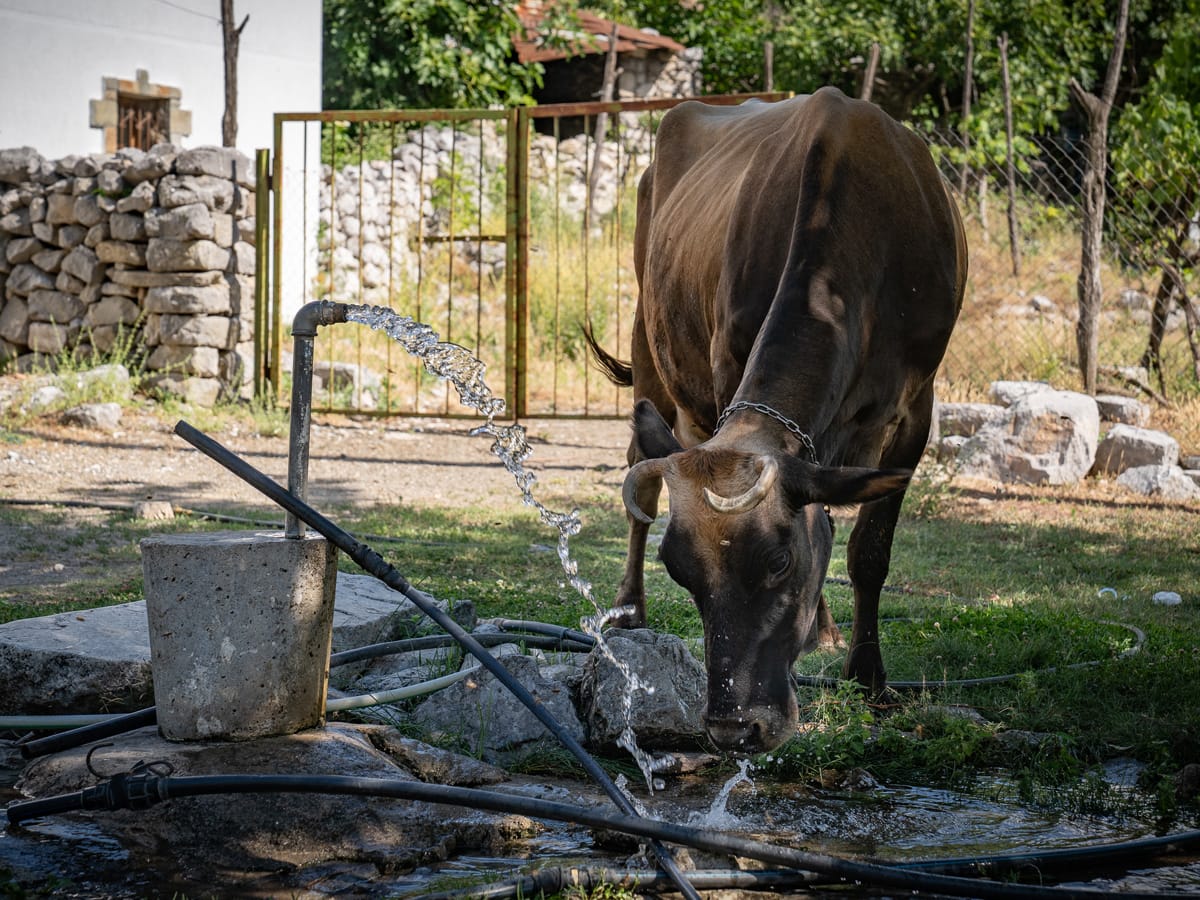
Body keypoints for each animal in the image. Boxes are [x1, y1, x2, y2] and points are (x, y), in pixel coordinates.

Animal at [584, 87, 968, 754]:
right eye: (679, 570)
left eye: (780, 562)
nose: (734, 727)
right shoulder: (726, 367)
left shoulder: (916, 407)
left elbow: (867, 548)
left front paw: (868, 676)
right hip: (648, 343)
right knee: (642, 478)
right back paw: (629, 609)